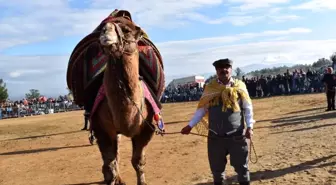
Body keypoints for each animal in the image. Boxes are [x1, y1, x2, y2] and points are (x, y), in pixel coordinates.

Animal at [88, 14, 163, 185]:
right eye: (102, 28)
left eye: (127, 30)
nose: (105, 31)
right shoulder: (101, 129)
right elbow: (110, 162)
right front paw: (112, 179)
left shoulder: (147, 128)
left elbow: (138, 161)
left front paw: (142, 182)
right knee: (112, 159)